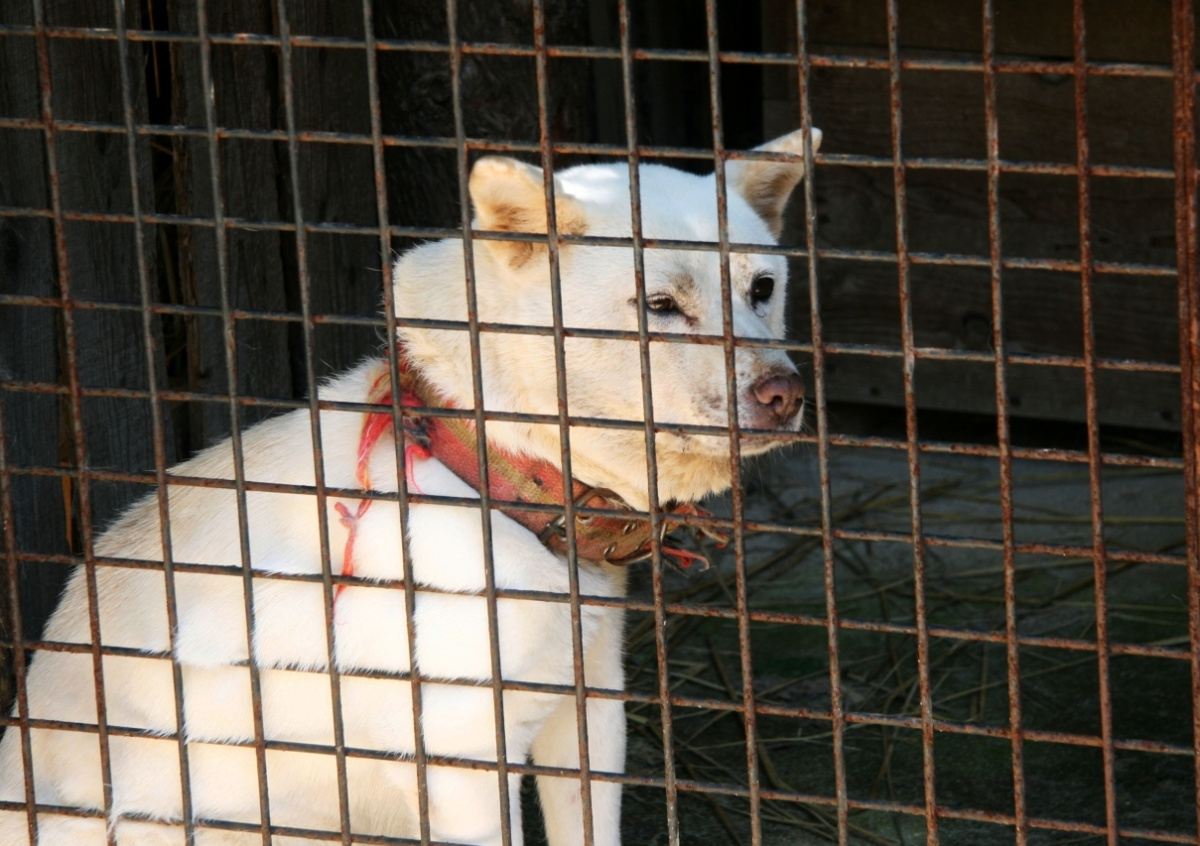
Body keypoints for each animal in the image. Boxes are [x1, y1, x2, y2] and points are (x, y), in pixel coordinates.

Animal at [0, 127, 819, 845]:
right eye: (658, 308)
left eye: (763, 289)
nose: (785, 393)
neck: (492, 480)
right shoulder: (463, 768)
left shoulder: (588, 720)